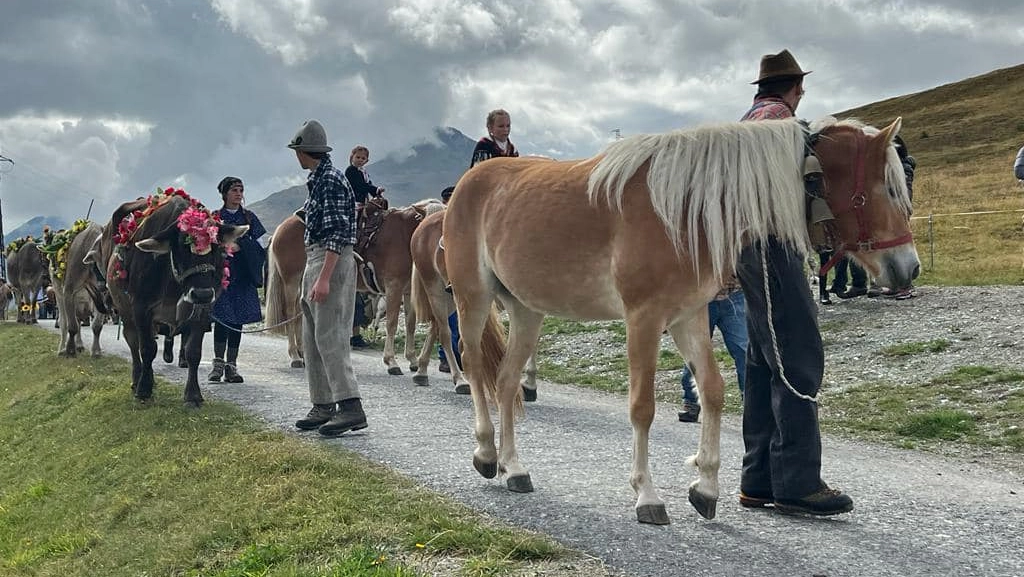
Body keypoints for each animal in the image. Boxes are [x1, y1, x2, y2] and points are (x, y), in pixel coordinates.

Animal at [99, 188, 247, 405]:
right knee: (134, 345)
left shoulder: (202, 311)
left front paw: (193, 395)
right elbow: (147, 349)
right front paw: (143, 389)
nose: (202, 293)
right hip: (125, 312)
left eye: (217, 248)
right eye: (181, 248)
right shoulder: (140, 308)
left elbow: (193, 352)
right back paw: (138, 379)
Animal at [264, 199, 444, 375]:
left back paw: (302, 353)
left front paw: (413, 360)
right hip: (291, 280)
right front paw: (391, 361)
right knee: (290, 312)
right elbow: (392, 323)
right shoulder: (394, 287)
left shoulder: (407, 291)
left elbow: (410, 323)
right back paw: (295, 356)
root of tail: (281, 229)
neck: (404, 235)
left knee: (299, 314)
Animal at [444, 115, 917, 524]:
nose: (908, 268)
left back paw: (514, 467)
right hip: (473, 299)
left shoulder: (688, 317)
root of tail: (470, 183)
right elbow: (642, 407)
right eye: (888, 190)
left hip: (526, 310)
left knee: (506, 381)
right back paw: (486, 453)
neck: (684, 209)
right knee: (474, 364)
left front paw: (705, 487)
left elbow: (713, 391)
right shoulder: (644, 318)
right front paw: (647, 495)